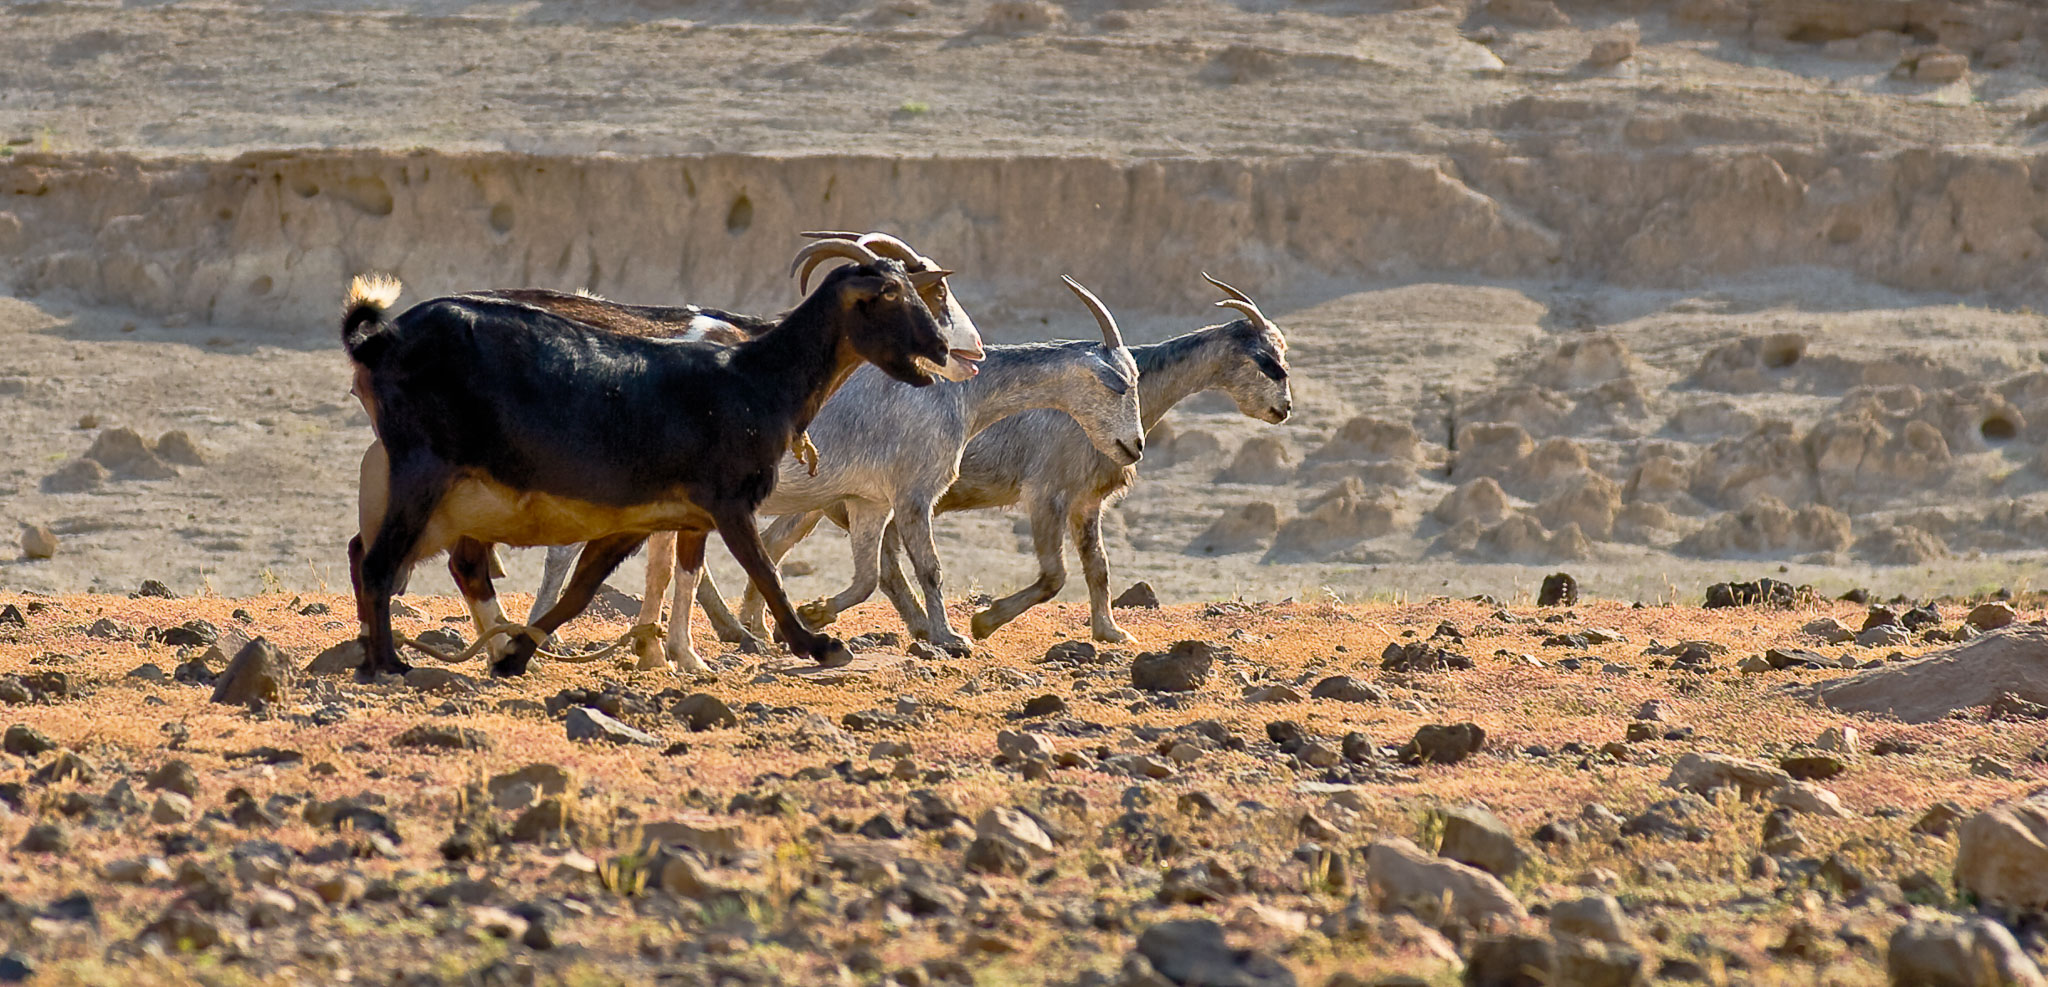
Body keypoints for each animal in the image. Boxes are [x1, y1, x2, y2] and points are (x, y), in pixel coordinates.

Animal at [340, 239, 956, 681]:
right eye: (891, 295)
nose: (943, 349)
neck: (756, 377)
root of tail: (381, 339)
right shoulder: (728, 501)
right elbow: (766, 571)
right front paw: (818, 644)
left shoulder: (647, 517)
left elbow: (584, 590)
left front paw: (517, 655)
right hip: (424, 470)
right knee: (378, 560)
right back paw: (386, 663)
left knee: (423, 559)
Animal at [534, 276, 1146, 670]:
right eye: (1117, 384)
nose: (1135, 446)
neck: (962, 394)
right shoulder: (914, 492)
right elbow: (929, 569)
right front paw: (953, 637)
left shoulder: (867, 501)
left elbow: (869, 574)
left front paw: (815, 612)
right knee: (570, 551)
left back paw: (674, 645)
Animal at [869, 273, 1291, 643]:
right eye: (1267, 362)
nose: (1283, 409)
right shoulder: (1046, 494)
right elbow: (1055, 575)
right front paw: (984, 621)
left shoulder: (1087, 502)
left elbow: (1098, 567)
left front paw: (1110, 632)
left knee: (885, 565)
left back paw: (921, 627)